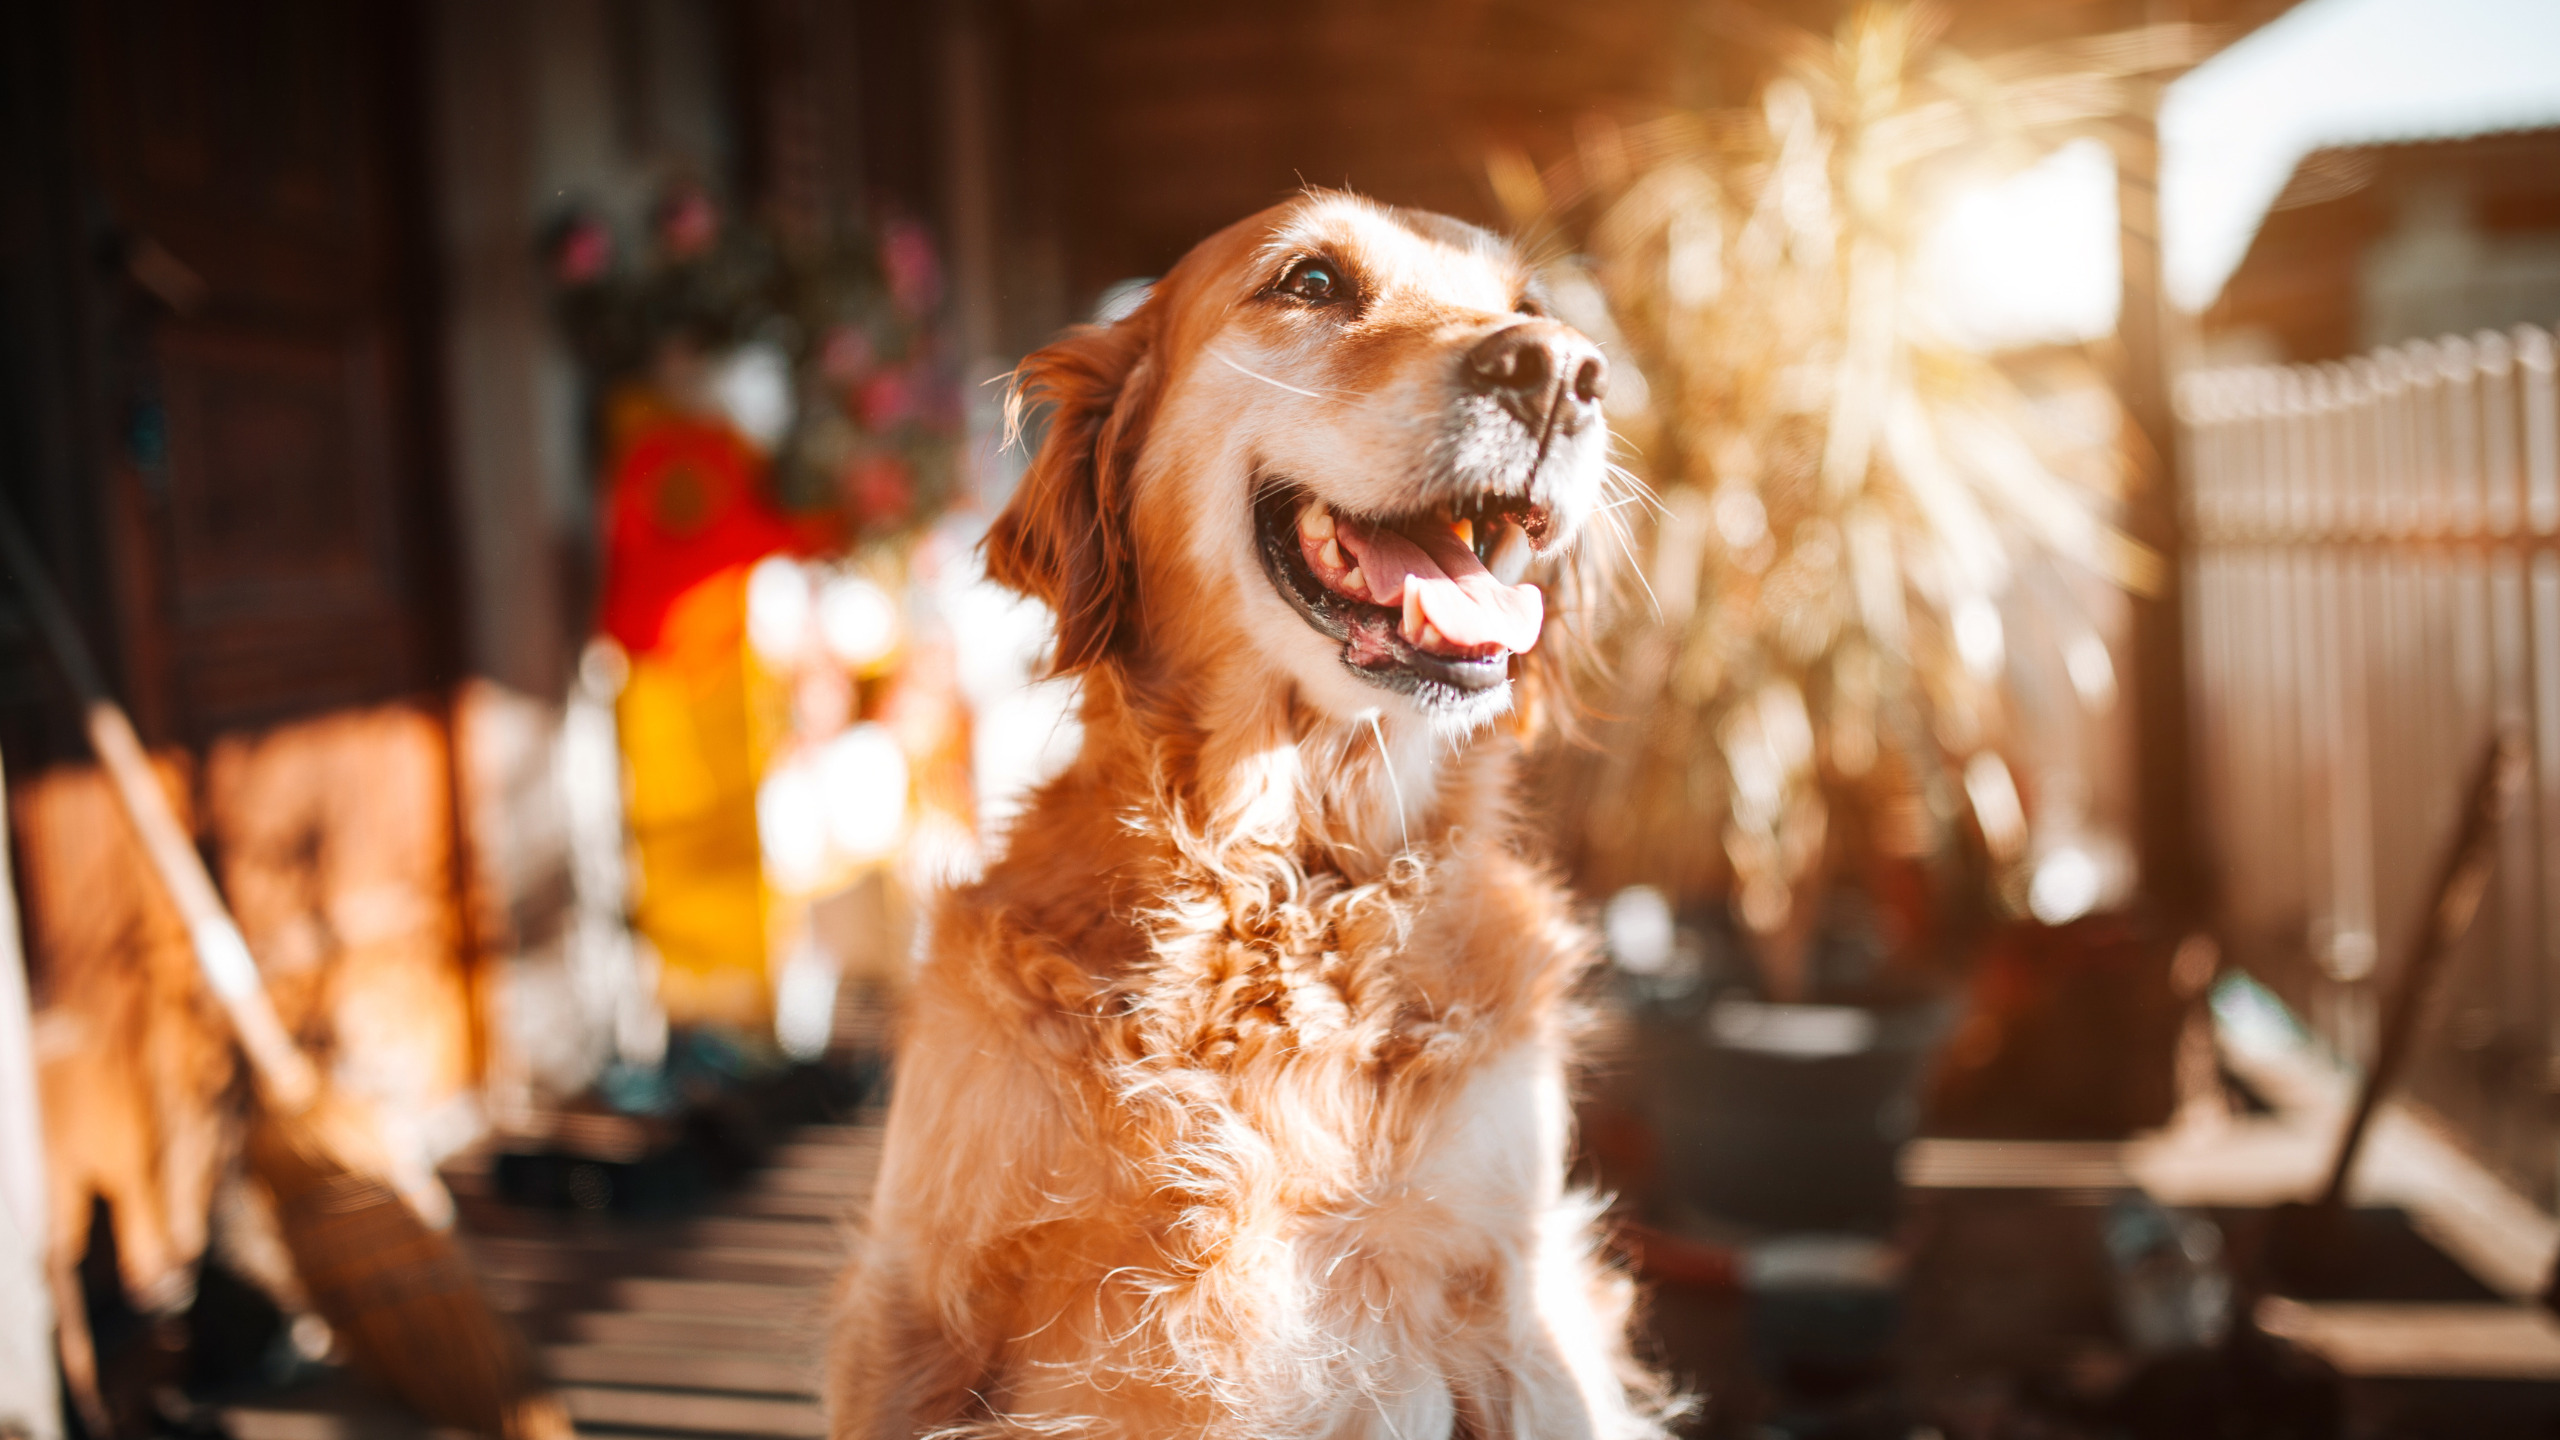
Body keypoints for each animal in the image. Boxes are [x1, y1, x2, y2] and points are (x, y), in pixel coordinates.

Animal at [829, 193, 1669, 1434]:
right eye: (1311, 281)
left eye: (1529, 306)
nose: (1561, 372)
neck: (1284, 888)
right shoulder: (915, 1300)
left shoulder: (1521, 1309)